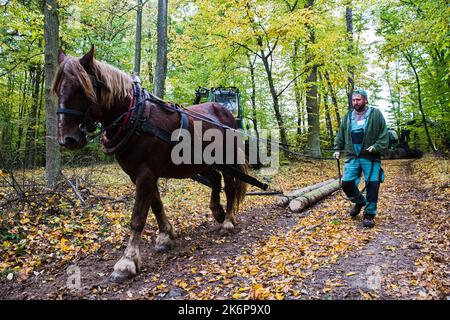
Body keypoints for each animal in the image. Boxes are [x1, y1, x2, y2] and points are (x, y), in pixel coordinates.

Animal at [54, 46, 248, 282]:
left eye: (82, 89)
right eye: (58, 90)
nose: (67, 139)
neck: (135, 117)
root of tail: (225, 111)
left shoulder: (145, 172)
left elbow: (138, 216)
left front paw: (127, 261)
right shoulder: (140, 173)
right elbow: (156, 204)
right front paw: (166, 235)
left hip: (227, 158)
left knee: (229, 186)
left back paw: (228, 220)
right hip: (201, 162)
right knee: (215, 179)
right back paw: (217, 212)